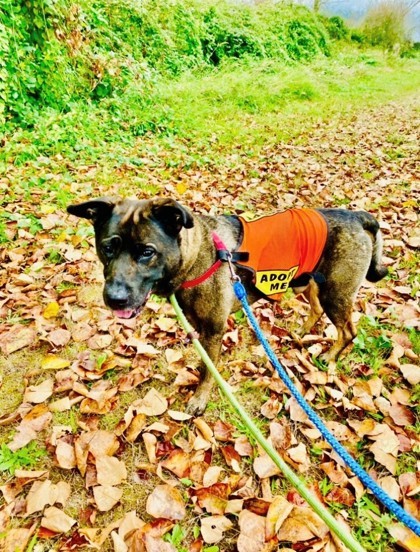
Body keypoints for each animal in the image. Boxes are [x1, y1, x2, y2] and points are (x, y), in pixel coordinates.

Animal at [68, 198, 388, 414]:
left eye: (147, 252)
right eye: (107, 248)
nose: (114, 298)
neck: (197, 256)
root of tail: (358, 216)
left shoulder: (213, 329)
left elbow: (209, 371)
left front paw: (200, 397)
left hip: (335, 293)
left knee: (347, 331)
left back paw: (330, 357)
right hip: (308, 281)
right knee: (317, 309)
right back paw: (299, 335)